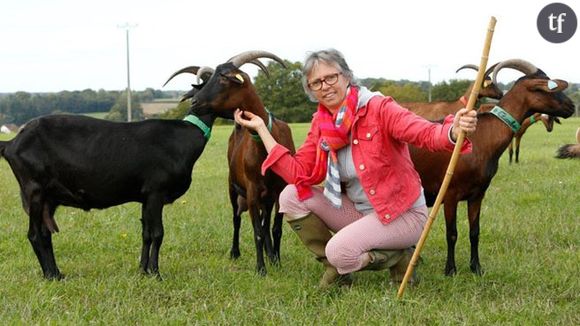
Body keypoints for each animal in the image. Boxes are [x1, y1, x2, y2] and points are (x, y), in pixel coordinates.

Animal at [0, 67, 215, 278]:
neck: (181, 138)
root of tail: (12, 143)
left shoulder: (145, 197)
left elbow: (146, 234)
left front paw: (143, 271)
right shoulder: (156, 193)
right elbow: (157, 233)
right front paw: (155, 273)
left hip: (49, 198)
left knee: (45, 233)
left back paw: (56, 274)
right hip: (34, 190)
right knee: (34, 234)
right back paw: (51, 276)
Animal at [188, 51, 294, 276]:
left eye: (222, 78)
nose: (194, 102)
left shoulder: (279, 190)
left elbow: (275, 229)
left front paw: (276, 261)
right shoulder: (253, 191)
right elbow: (257, 232)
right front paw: (261, 269)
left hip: (267, 197)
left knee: (265, 223)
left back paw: (271, 255)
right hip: (233, 187)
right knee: (236, 219)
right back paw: (235, 252)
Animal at [408, 58, 576, 276]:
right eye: (547, 86)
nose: (572, 106)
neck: (481, 137)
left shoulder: (478, 194)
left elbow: (474, 232)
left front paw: (476, 268)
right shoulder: (450, 194)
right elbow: (452, 233)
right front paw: (450, 270)